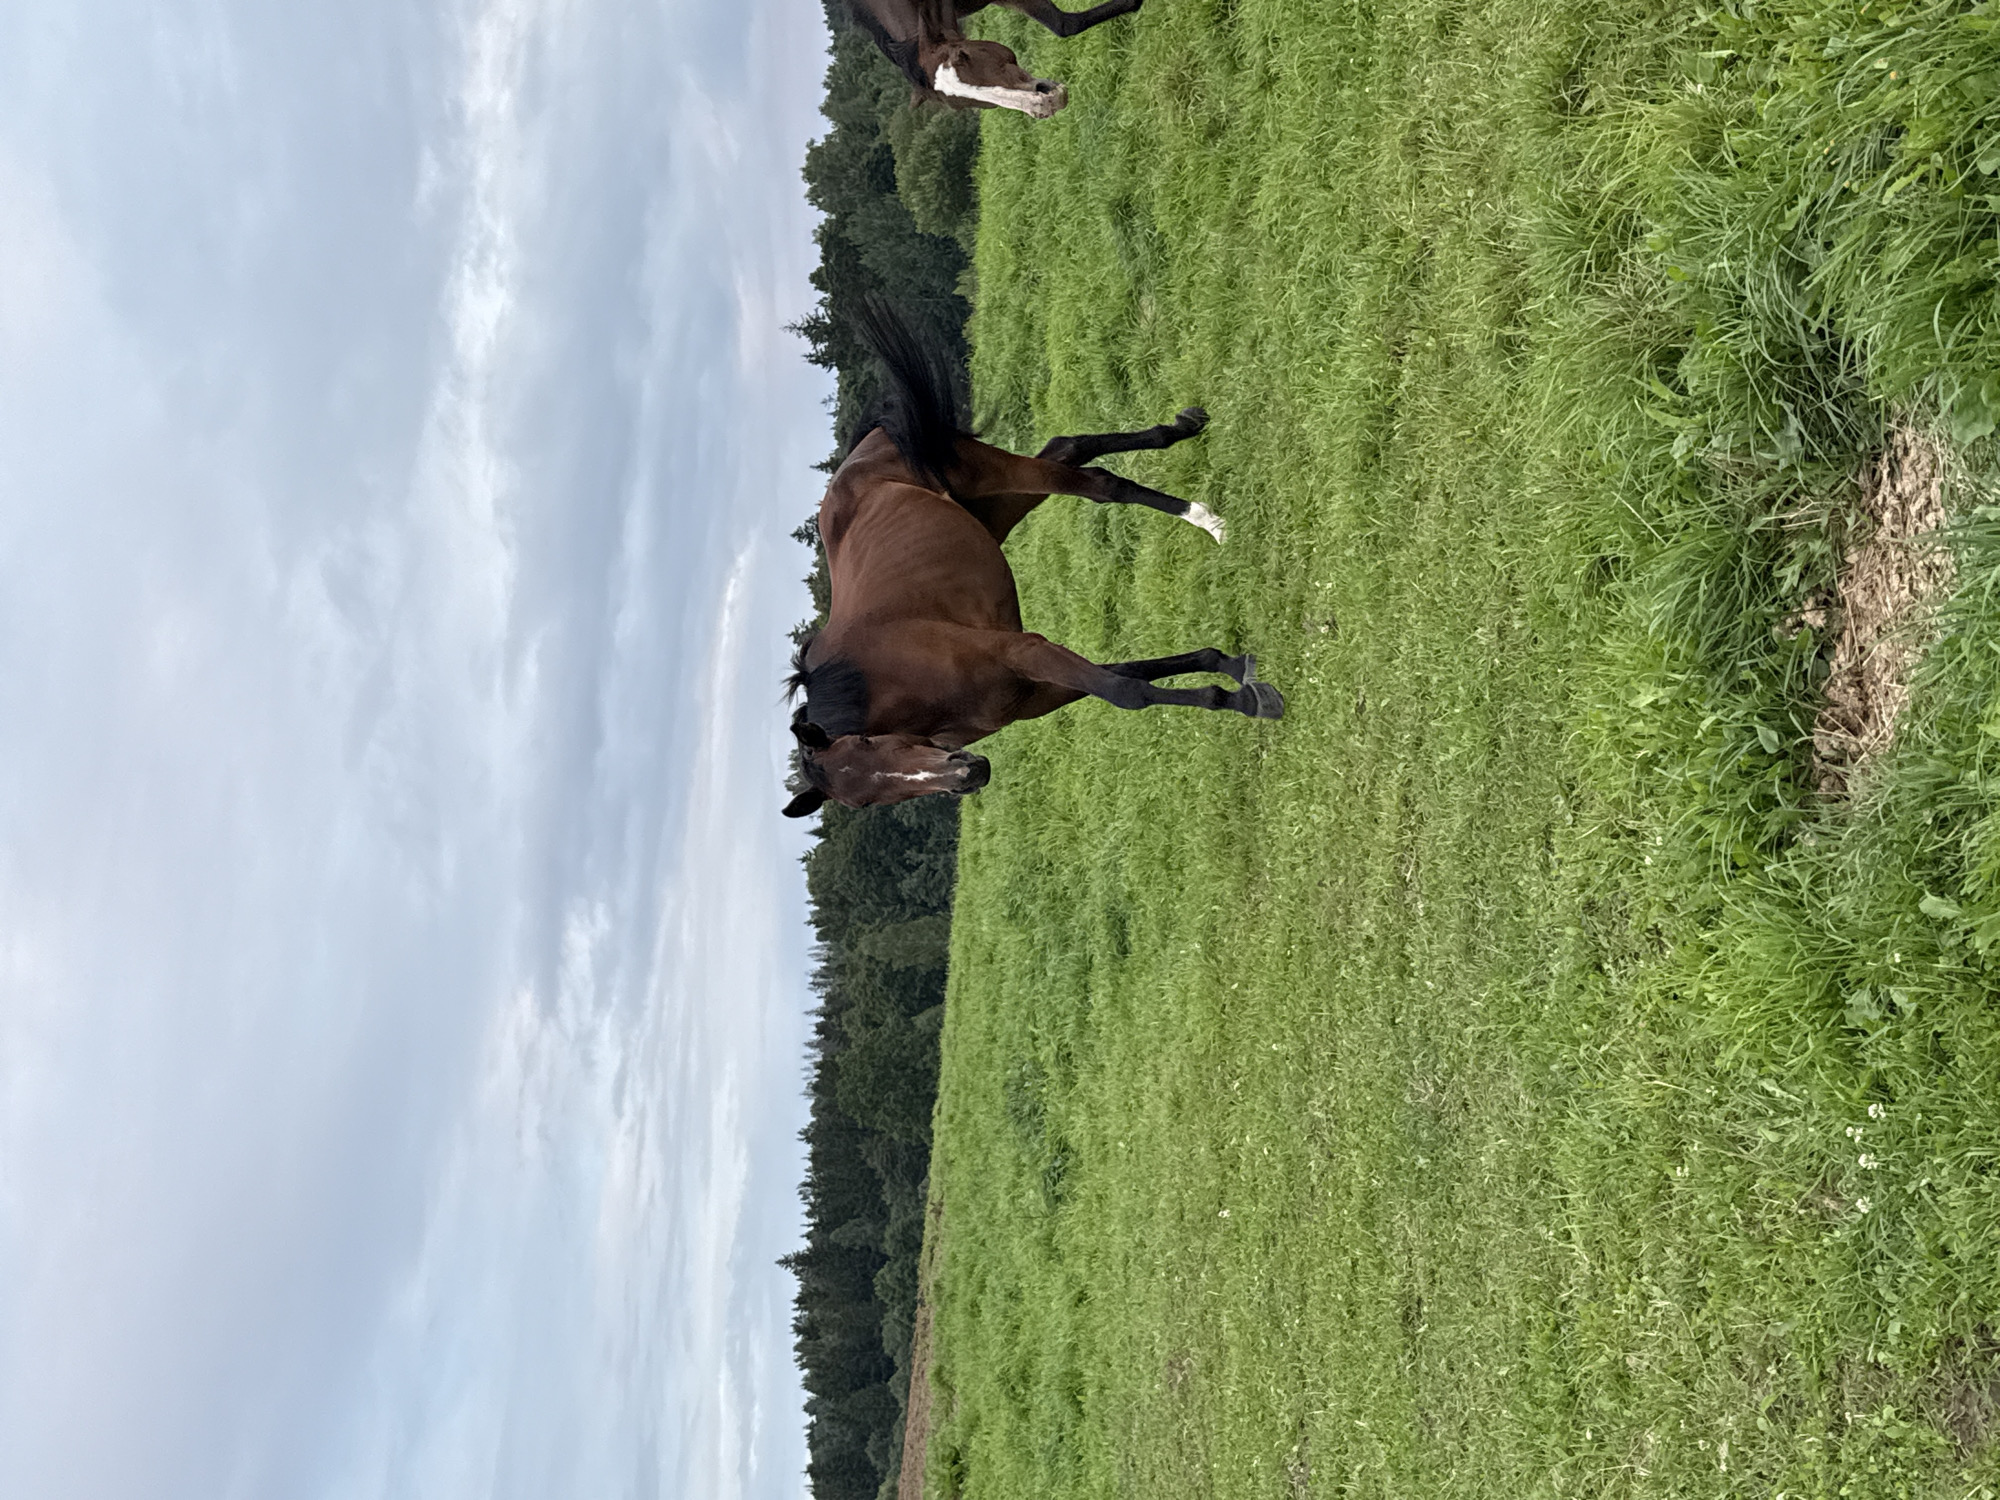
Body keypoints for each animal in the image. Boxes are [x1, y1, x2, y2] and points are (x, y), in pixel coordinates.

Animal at [782, 303, 1283, 818]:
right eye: (863, 800)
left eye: (867, 742)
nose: (968, 773)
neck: (893, 681)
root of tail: (863, 450)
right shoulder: (1040, 691)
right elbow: (1135, 671)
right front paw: (1230, 666)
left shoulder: (1025, 651)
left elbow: (1127, 691)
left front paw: (1252, 701)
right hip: (996, 505)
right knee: (1070, 447)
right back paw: (1181, 429)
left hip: (992, 472)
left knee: (1099, 484)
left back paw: (1206, 518)